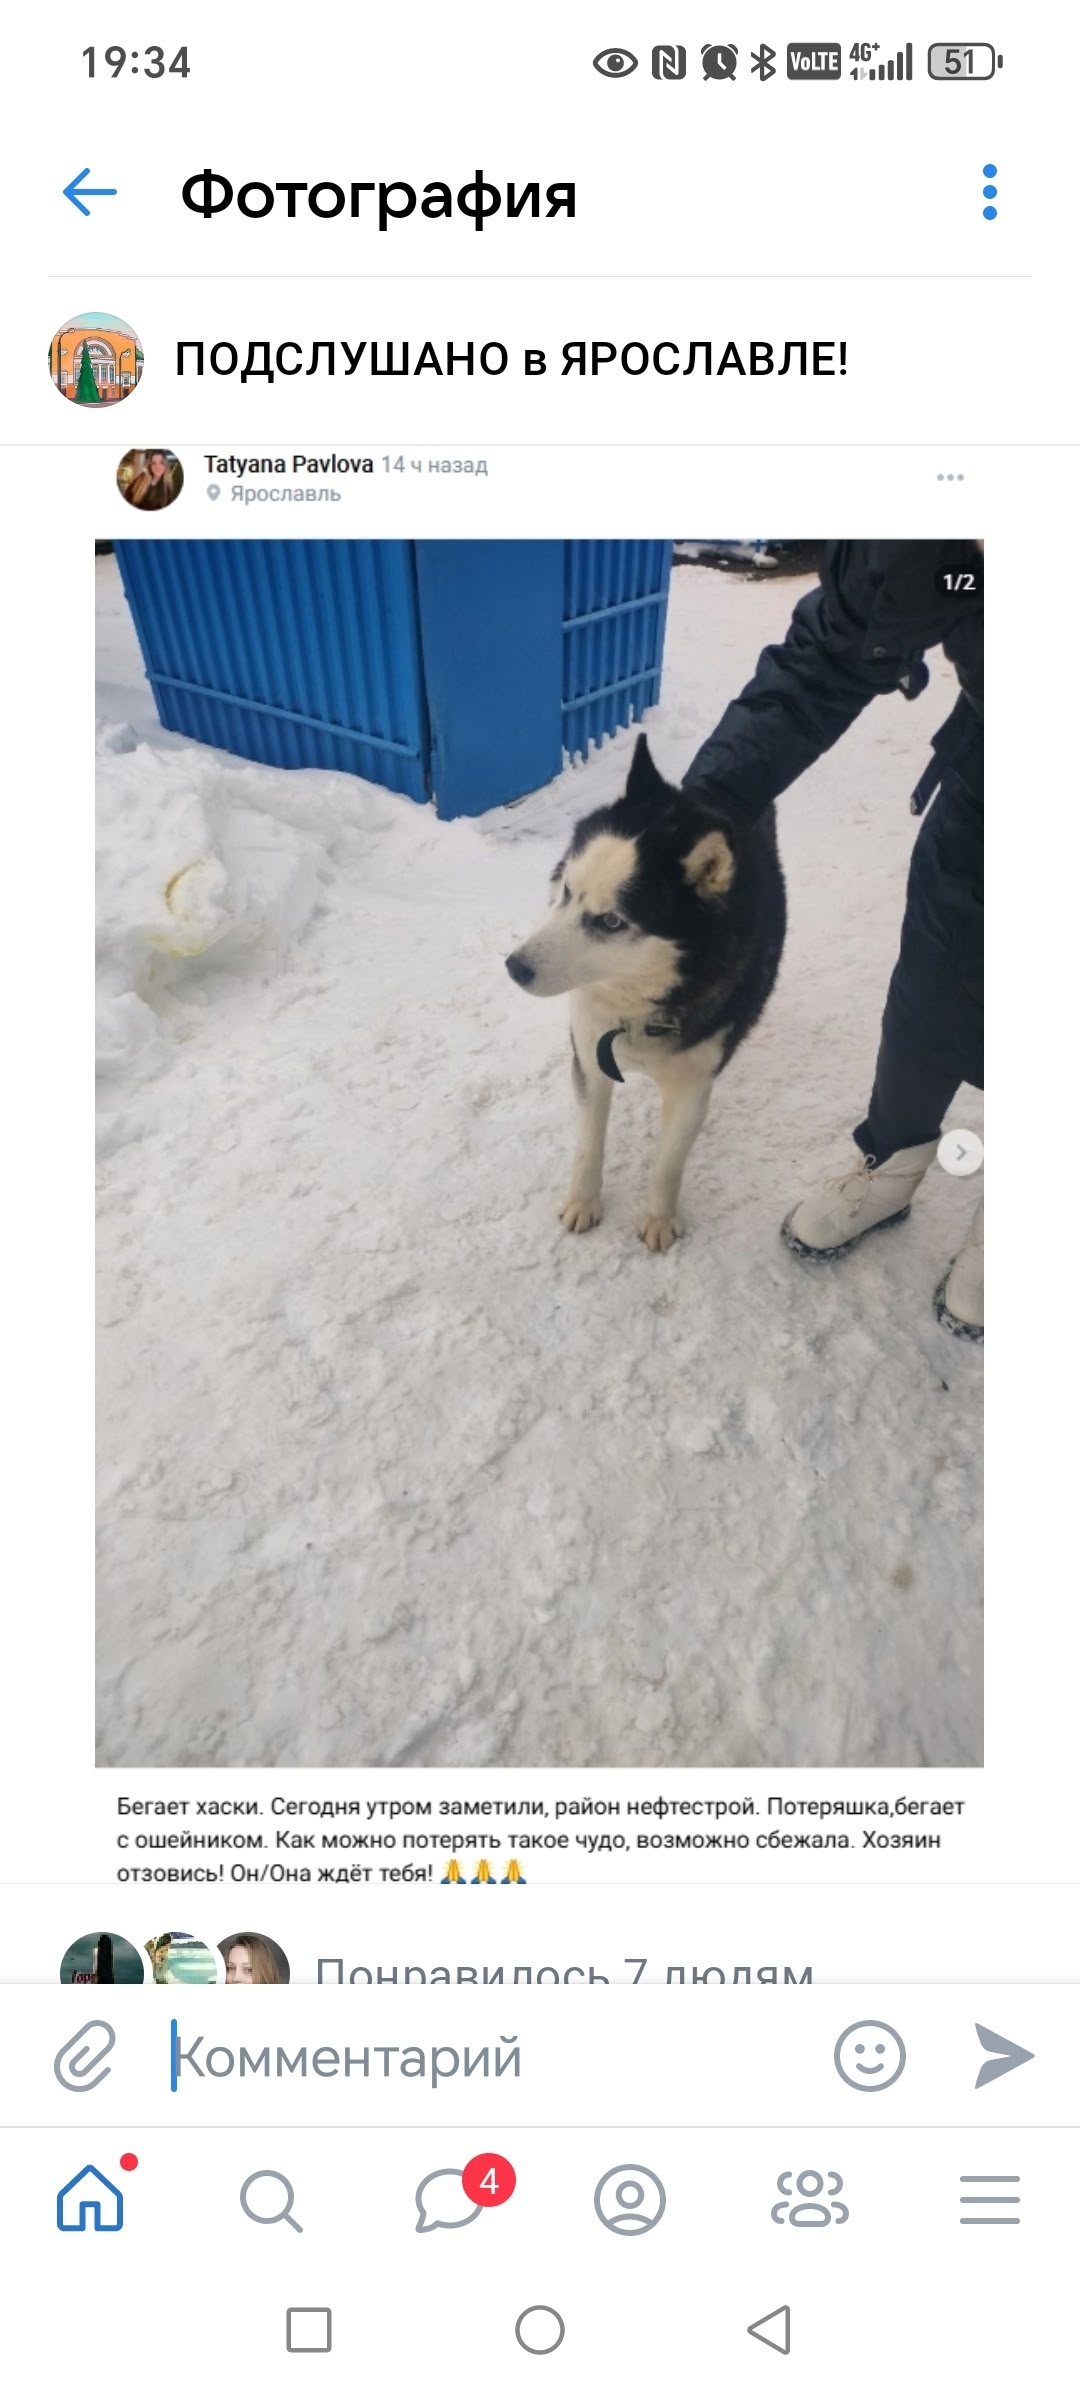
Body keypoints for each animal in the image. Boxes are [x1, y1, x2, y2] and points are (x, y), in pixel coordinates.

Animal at [505, 734, 786, 1250]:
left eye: (611, 921)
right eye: (568, 891)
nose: (514, 967)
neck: (637, 1002)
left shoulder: (693, 1084)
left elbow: (669, 1163)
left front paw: (659, 1218)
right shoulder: (589, 1055)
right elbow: (588, 1143)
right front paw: (583, 1202)